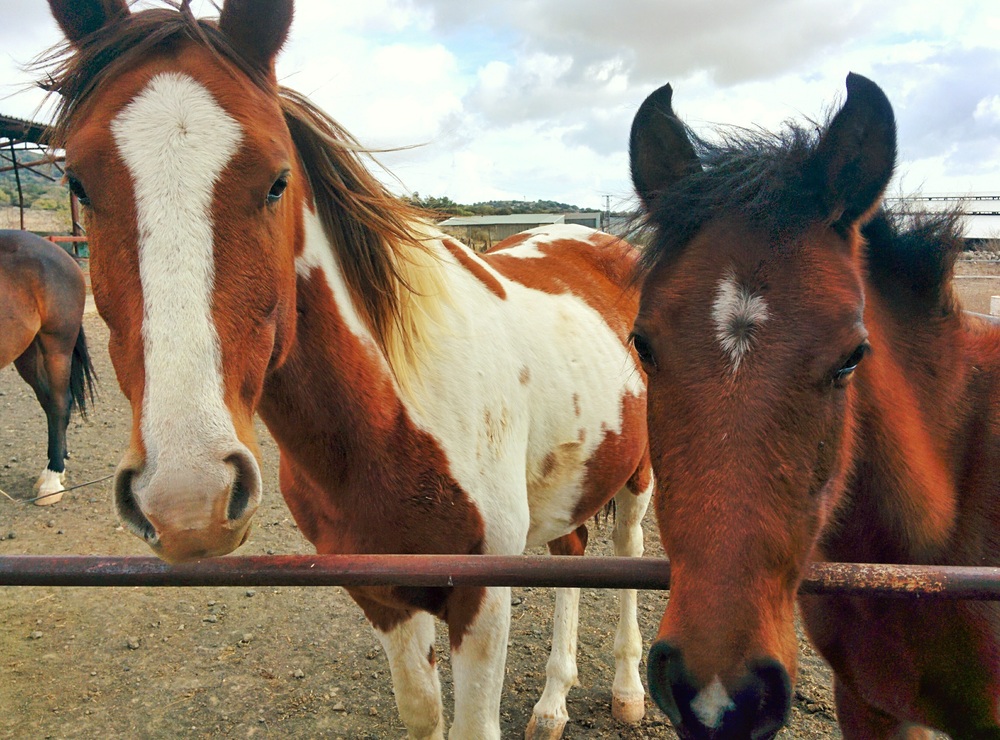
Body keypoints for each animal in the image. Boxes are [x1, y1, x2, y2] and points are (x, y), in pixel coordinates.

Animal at [41, 1, 653, 737]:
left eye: (277, 181)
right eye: (78, 182)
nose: (189, 500)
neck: (392, 418)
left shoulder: (482, 599)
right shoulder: (380, 594)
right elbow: (423, 713)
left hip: (640, 472)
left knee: (627, 553)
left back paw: (627, 689)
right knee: (572, 554)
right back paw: (554, 700)